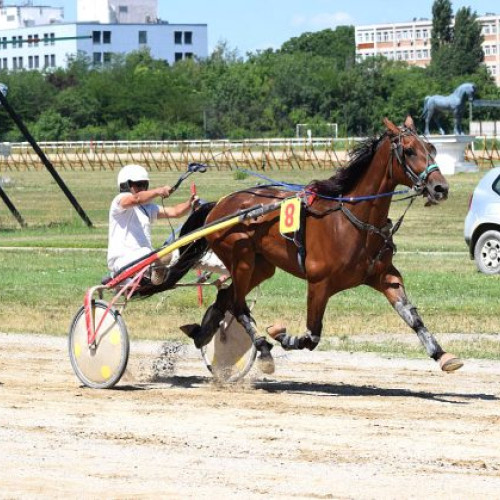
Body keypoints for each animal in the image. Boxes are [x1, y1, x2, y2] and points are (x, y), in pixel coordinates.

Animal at [181, 116, 464, 376]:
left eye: (432, 148)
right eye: (409, 150)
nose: (440, 188)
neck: (353, 220)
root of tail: (219, 204)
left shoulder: (385, 276)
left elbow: (412, 316)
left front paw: (441, 354)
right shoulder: (319, 283)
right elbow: (311, 336)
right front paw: (280, 334)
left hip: (260, 266)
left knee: (226, 298)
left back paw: (203, 332)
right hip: (240, 259)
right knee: (238, 304)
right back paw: (261, 348)